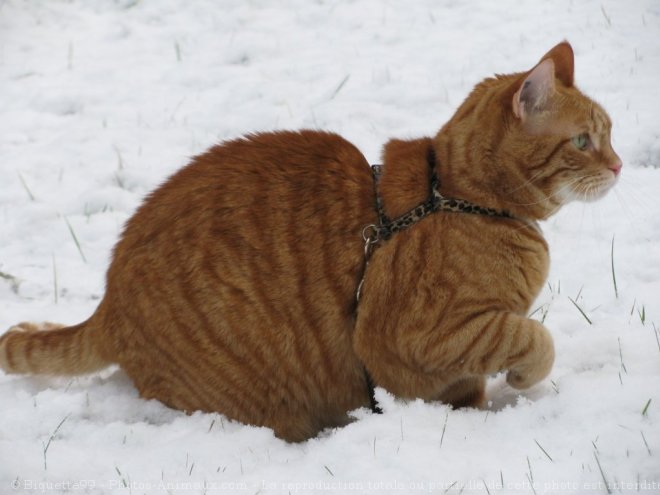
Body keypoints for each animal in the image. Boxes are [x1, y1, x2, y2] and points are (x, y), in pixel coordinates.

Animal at [0, 42, 620, 444]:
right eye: (583, 141)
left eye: (609, 135)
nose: (618, 165)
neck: (455, 194)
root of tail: (108, 304)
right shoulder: (414, 337)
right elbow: (529, 337)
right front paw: (517, 381)